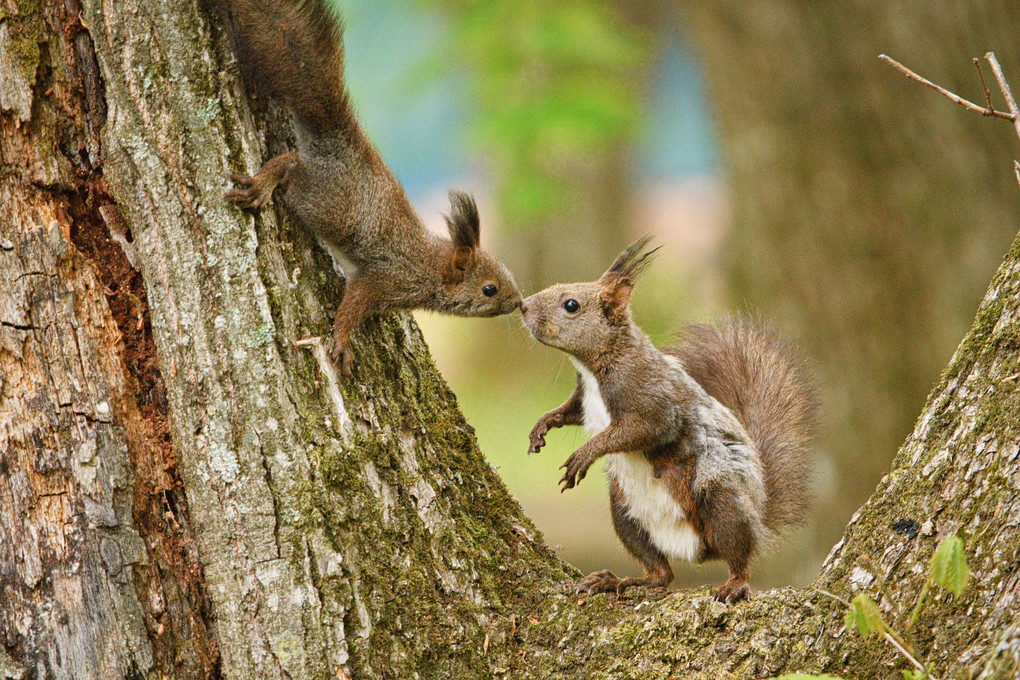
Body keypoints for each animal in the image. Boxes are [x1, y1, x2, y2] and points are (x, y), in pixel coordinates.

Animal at [213, 0, 518, 375]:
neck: (432, 266)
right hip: (328, 203)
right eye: (490, 289)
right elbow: (354, 303)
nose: (519, 302)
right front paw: (342, 341)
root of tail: (336, 135)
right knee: (291, 164)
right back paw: (263, 182)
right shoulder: (387, 278)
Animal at [522, 238, 816, 599]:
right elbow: (569, 412)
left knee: (737, 552)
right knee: (661, 572)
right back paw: (619, 580)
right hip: (625, 515)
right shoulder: (583, 398)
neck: (597, 365)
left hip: (720, 502)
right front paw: (543, 425)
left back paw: (734, 584)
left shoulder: (652, 399)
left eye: (571, 305)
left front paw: (583, 455)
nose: (523, 306)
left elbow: (640, 429)